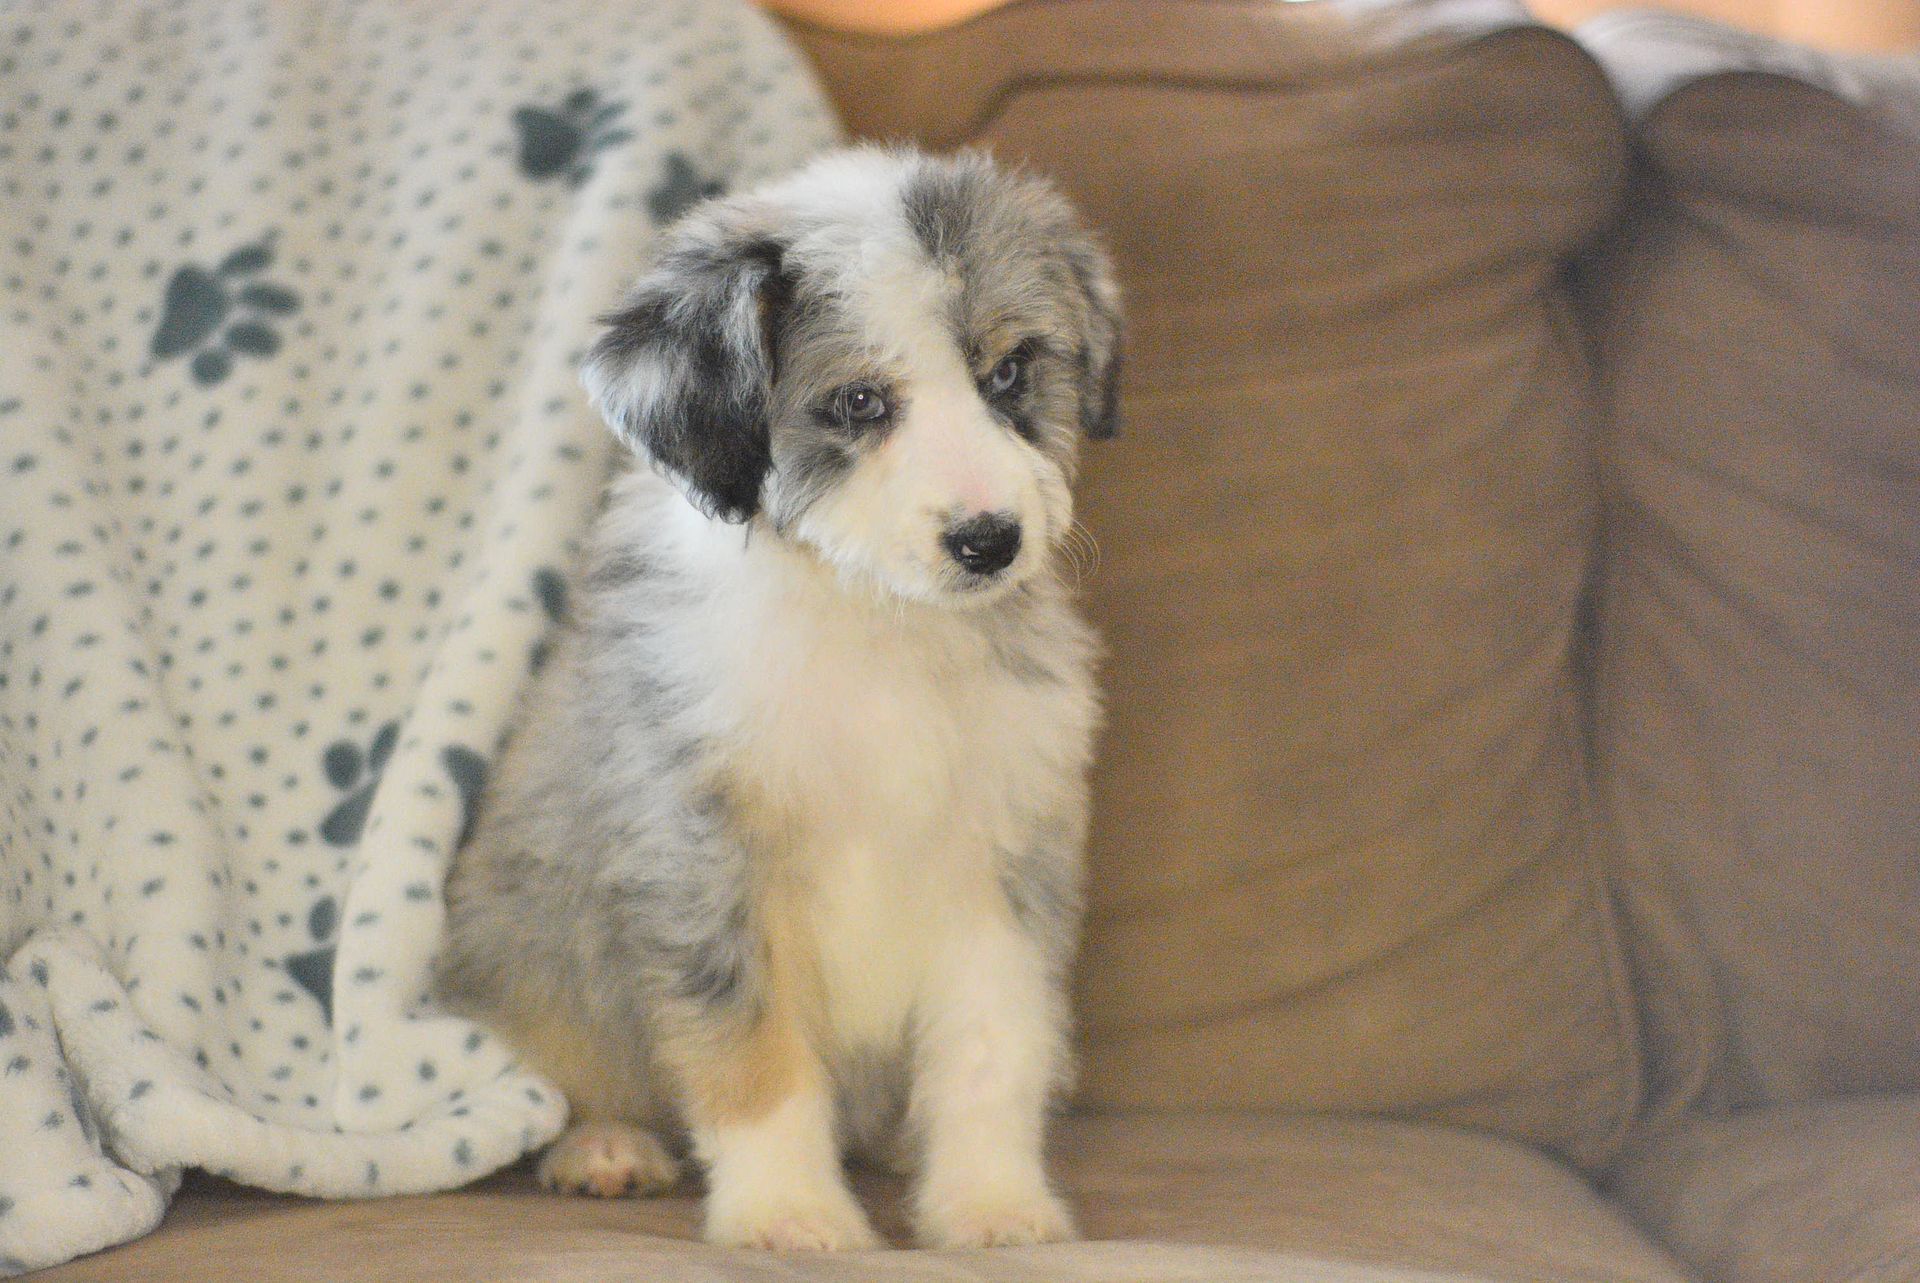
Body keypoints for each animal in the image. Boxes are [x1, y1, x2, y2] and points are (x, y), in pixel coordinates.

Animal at [437, 143, 1121, 1252]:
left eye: (1010, 371)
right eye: (859, 403)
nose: (990, 540)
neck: (872, 623)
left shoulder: (1005, 860)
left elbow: (991, 1050)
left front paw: (991, 1204)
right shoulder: (706, 859)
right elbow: (753, 1054)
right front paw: (789, 1211)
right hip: (534, 949)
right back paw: (606, 1146)